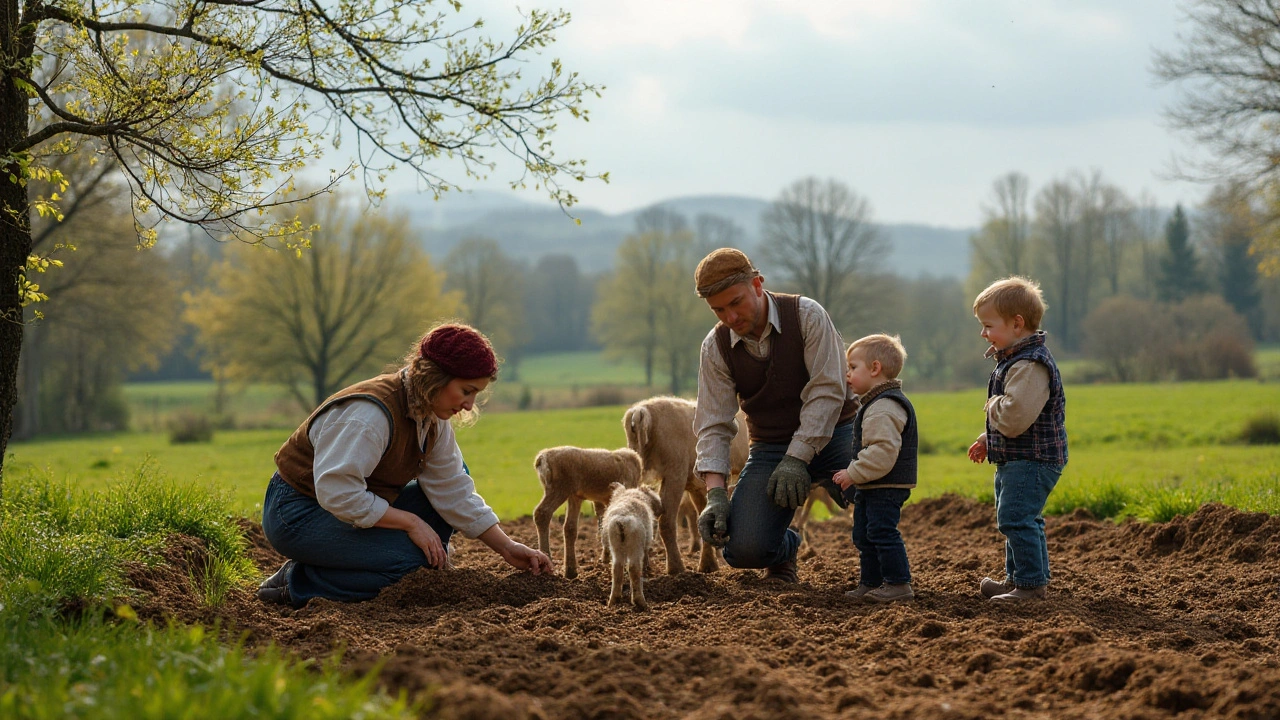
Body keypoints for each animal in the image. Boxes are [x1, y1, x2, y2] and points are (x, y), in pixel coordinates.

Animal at [535, 443, 645, 576]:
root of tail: (541, 459)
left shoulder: (596, 499)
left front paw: (606, 557)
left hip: (570, 493)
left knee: (569, 526)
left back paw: (570, 570)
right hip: (560, 487)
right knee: (542, 512)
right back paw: (547, 561)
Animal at [599, 479, 665, 607]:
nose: (662, 510)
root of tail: (622, 520)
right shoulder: (647, 540)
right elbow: (646, 555)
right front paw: (647, 568)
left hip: (615, 544)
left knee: (617, 568)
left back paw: (613, 601)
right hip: (636, 544)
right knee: (634, 568)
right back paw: (640, 602)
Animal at [622, 392, 747, 571]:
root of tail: (640, 411)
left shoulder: (696, 487)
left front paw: (709, 566)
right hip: (675, 473)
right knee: (666, 521)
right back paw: (676, 568)